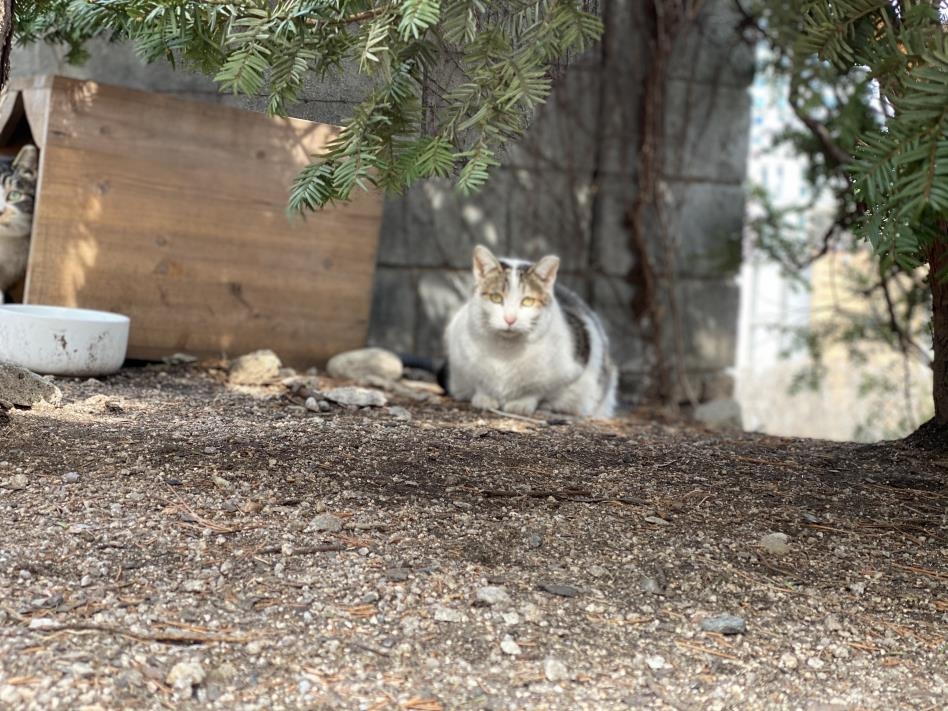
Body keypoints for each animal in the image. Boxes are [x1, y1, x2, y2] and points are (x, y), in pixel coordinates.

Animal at [446, 245, 624, 418]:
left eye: (527, 302)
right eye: (496, 298)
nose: (510, 319)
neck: (506, 351)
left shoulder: (573, 367)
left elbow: (539, 390)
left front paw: (522, 404)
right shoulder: (460, 361)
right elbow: (478, 383)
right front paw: (484, 398)